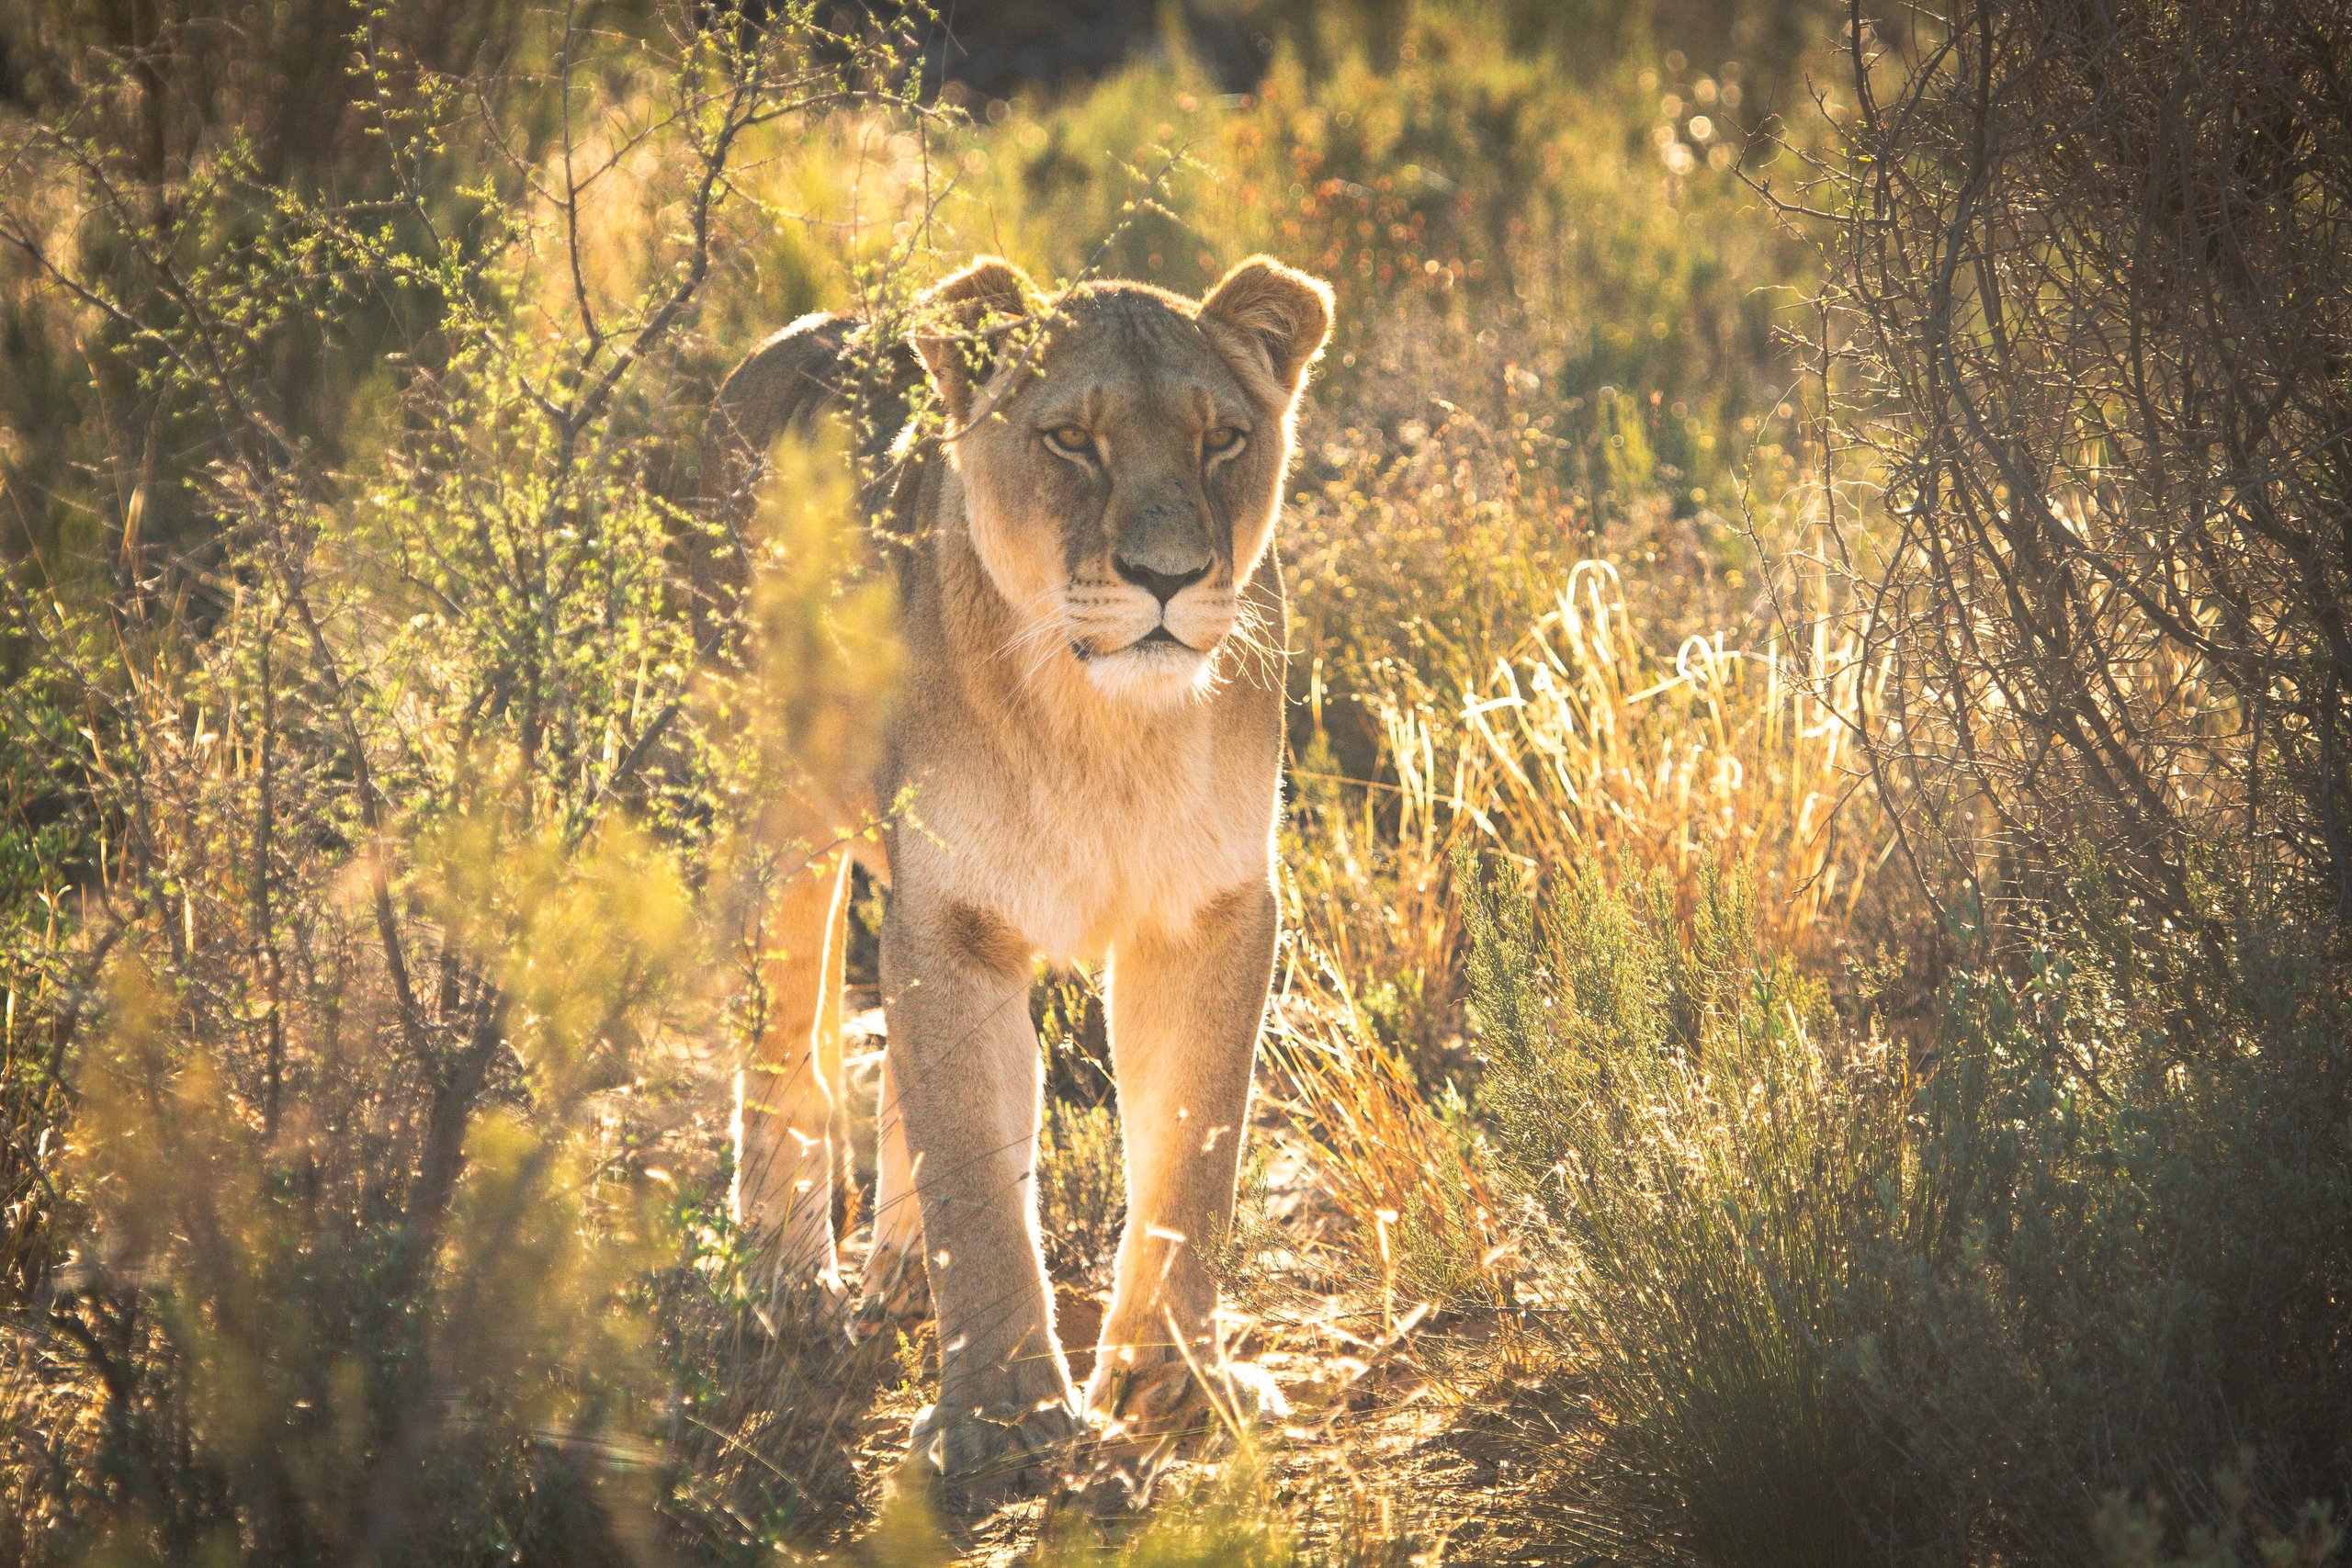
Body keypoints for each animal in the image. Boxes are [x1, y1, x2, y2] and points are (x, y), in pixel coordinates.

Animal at [706, 253, 1333, 1503]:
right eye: (1070, 441)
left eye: (1223, 440)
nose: (1165, 577)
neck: (1107, 729)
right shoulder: (955, 918)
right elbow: (976, 1177)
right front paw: (1000, 1416)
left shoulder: (1210, 914)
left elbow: (1192, 1151)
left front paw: (1174, 1382)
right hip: (780, 817)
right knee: (786, 1048)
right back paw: (789, 1286)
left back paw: (900, 1272)